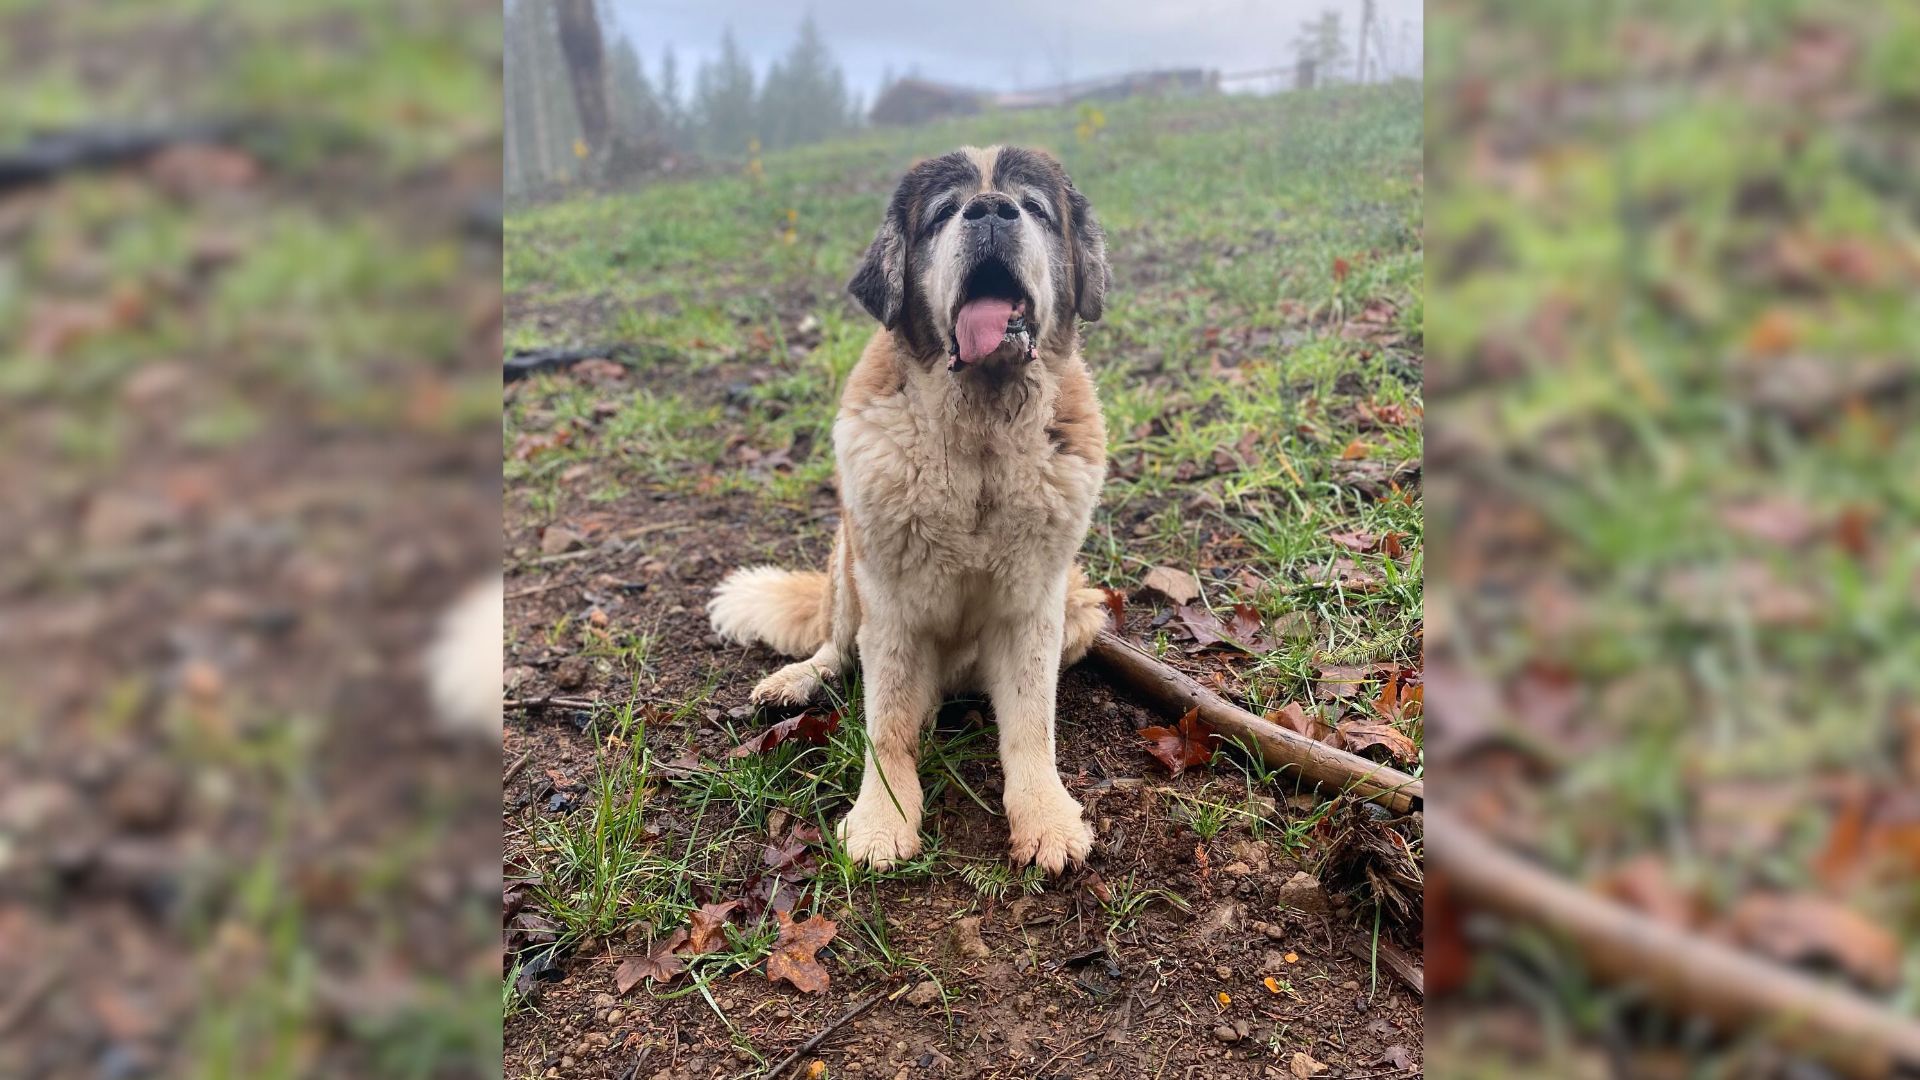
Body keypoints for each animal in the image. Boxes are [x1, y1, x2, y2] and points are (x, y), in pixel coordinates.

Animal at [706, 143, 1113, 868]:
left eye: (1033, 207)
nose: (990, 210)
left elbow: (1030, 722)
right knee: (837, 648)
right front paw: (882, 820)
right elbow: (888, 721)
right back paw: (797, 680)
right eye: (946, 211)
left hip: (1082, 607)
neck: (979, 432)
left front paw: (1045, 816)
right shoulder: (890, 601)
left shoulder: (1035, 605)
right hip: (849, 560)